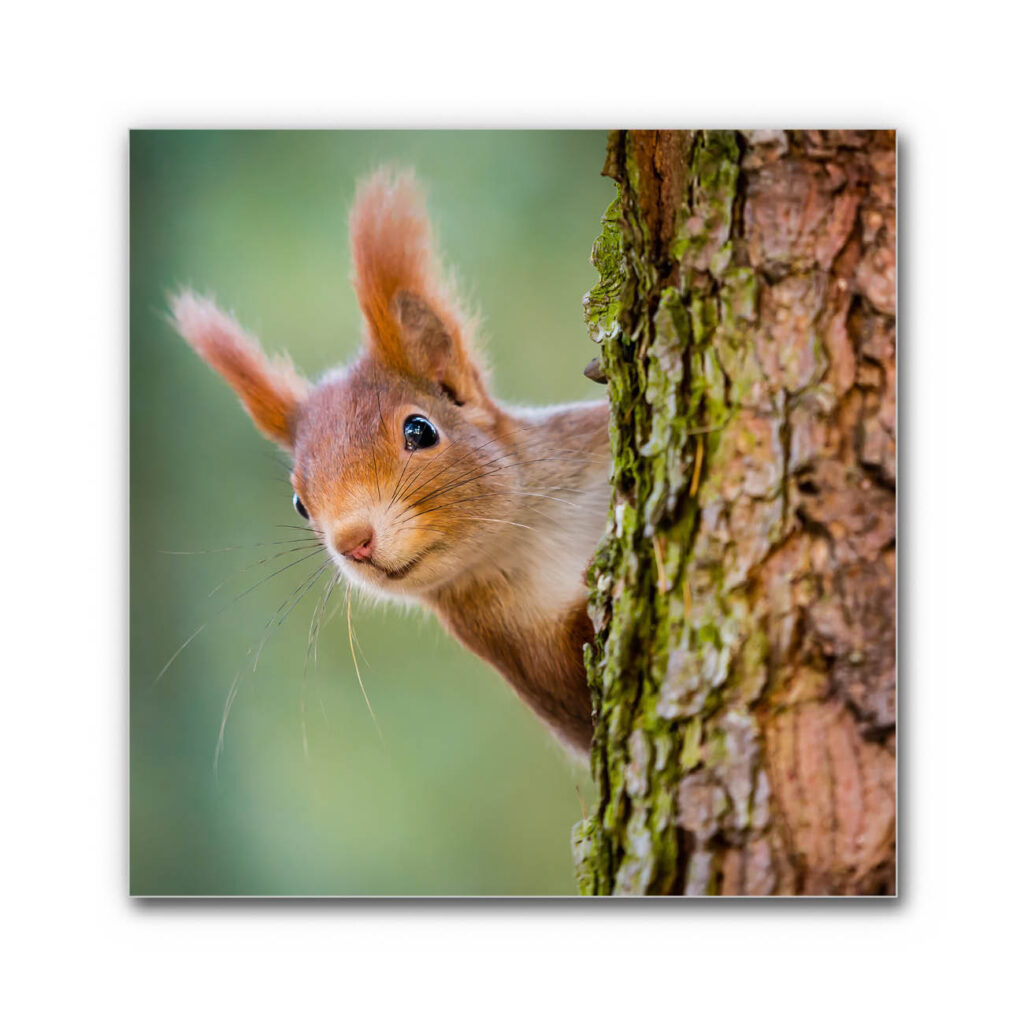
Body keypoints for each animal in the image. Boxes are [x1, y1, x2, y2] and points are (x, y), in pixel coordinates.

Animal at [171, 170, 611, 754]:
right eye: (299, 504)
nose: (353, 542)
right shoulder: (521, 654)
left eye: (419, 430)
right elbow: (580, 699)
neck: (531, 535)